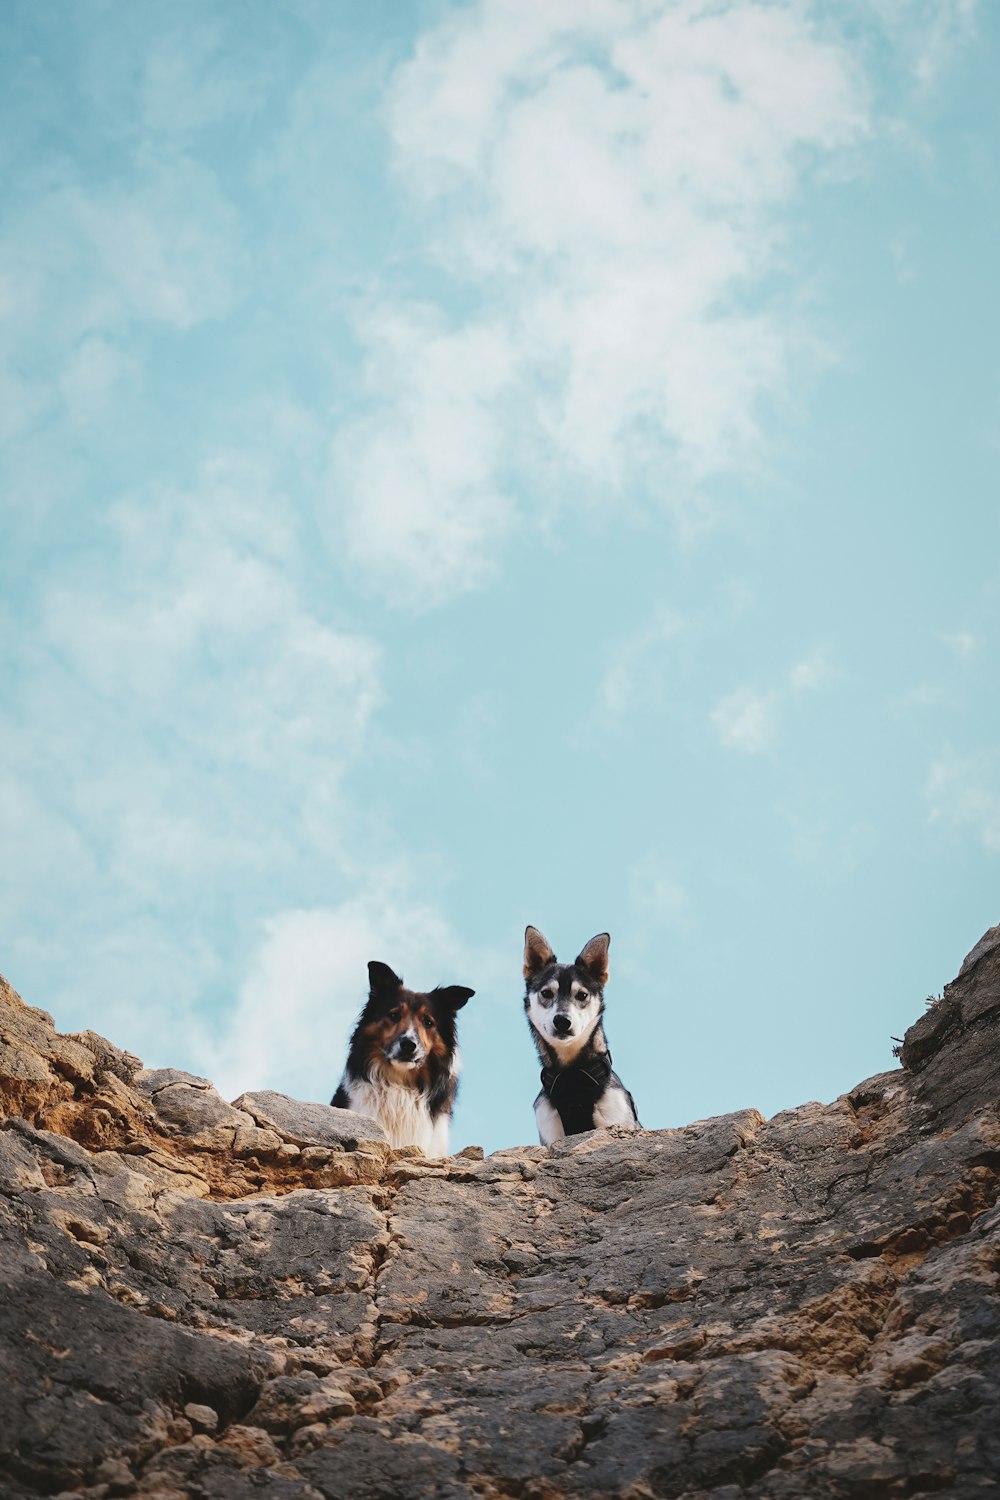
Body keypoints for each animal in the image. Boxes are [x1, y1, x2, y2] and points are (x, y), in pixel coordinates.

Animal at [524, 918, 641, 1140]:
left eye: (582, 995)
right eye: (546, 993)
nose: (562, 1021)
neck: (571, 1075)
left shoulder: (615, 1119)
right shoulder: (551, 1130)